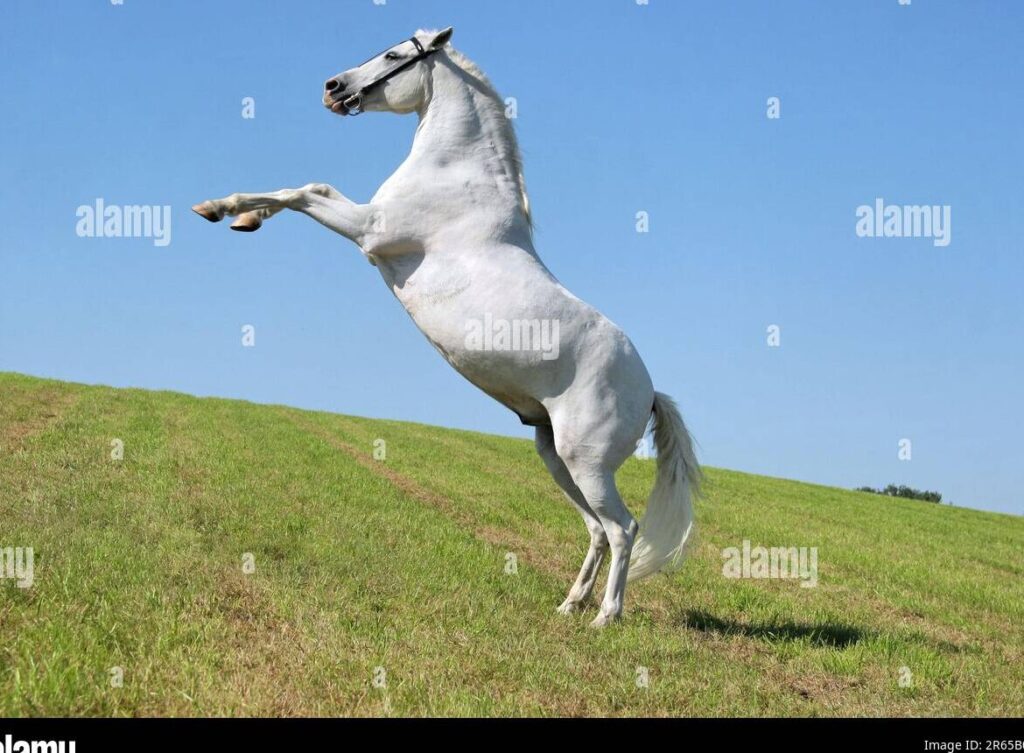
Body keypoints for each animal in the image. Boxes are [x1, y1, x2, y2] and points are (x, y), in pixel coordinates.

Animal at [192, 27, 701, 627]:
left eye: (393, 55)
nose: (332, 87)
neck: (456, 173)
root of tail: (650, 392)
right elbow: (309, 187)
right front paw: (239, 216)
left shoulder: (370, 231)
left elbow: (304, 193)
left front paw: (221, 208)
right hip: (557, 458)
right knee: (597, 531)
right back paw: (568, 606)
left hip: (588, 462)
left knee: (624, 529)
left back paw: (605, 618)